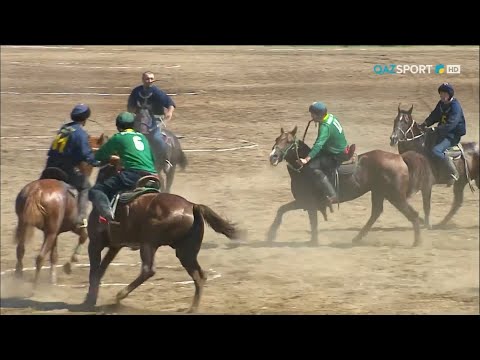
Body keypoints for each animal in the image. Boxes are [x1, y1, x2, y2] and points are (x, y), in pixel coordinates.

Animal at [13, 134, 107, 286]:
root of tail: (36, 192)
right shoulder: (73, 226)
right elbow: (84, 236)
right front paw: (69, 265)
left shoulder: (56, 232)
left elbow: (54, 255)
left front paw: (53, 278)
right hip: (50, 231)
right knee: (40, 257)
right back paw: (34, 286)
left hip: (25, 224)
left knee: (20, 250)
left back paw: (18, 275)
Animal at [83, 163, 246, 312]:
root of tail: (192, 206)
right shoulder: (115, 246)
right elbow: (101, 269)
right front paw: (90, 298)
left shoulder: (95, 243)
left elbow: (94, 271)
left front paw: (89, 301)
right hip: (185, 251)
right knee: (199, 275)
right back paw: (193, 308)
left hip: (149, 243)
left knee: (148, 270)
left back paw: (120, 295)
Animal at [268, 125, 434, 246]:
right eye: (277, 138)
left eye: (289, 141)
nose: (273, 157)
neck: (304, 168)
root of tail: (400, 158)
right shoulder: (305, 203)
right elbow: (283, 210)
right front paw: (272, 234)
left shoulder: (308, 202)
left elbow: (308, 220)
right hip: (379, 192)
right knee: (376, 213)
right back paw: (357, 238)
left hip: (395, 196)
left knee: (412, 214)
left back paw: (417, 241)